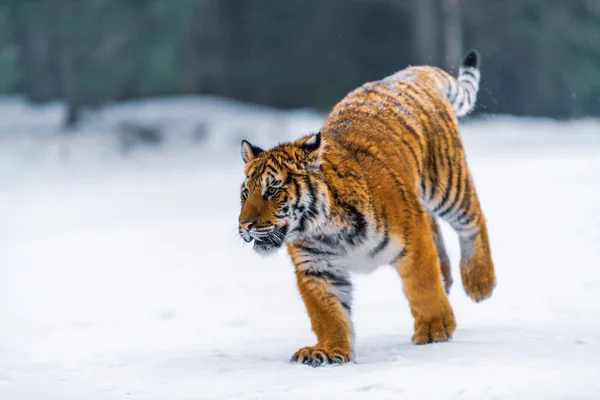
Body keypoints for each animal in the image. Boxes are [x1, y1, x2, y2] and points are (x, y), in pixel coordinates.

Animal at [237, 50, 494, 368]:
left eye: (272, 190)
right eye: (245, 194)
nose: (244, 225)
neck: (324, 229)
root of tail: (406, 75)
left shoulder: (412, 238)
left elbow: (422, 285)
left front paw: (436, 328)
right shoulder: (316, 267)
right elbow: (327, 312)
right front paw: (330, 349)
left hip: (446, 183)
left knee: (473, 219)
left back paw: (480, 281)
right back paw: (448, 277)